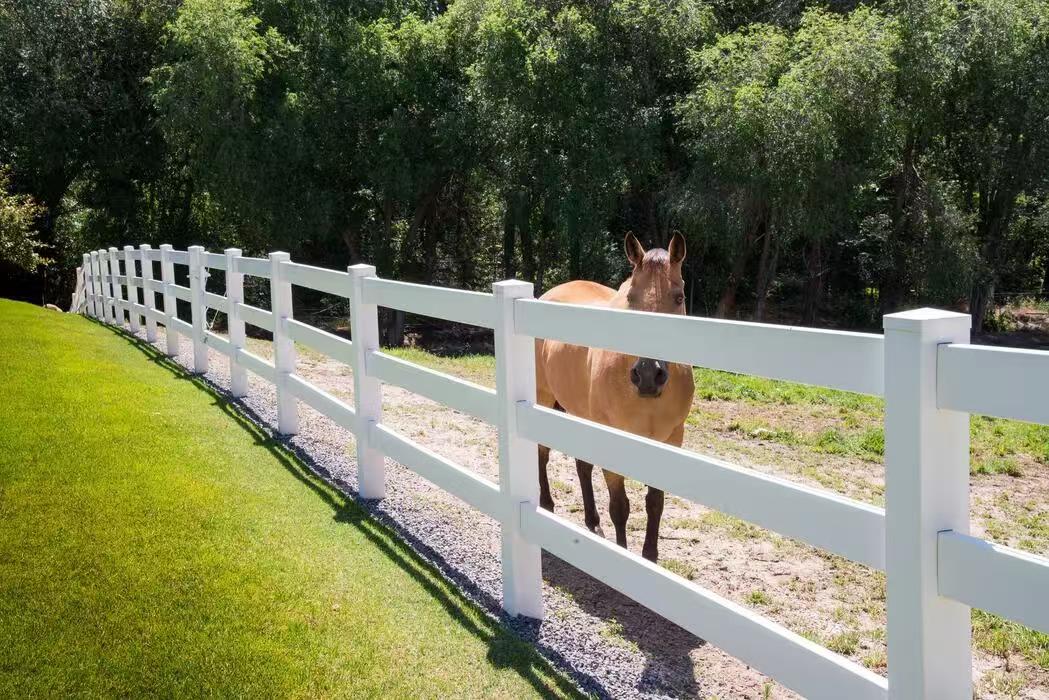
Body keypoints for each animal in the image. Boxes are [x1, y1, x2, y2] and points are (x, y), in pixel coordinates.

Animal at [537, 232, 692, 562]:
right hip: (542, 398)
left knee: (582, 465)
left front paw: (649, 557)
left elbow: (655, 502)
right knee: (542, 453)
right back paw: (546, 504)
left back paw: (592, 522)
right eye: (631, 298)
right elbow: (620, 507)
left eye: (679, 298)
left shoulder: (670, 440)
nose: (648, 374)